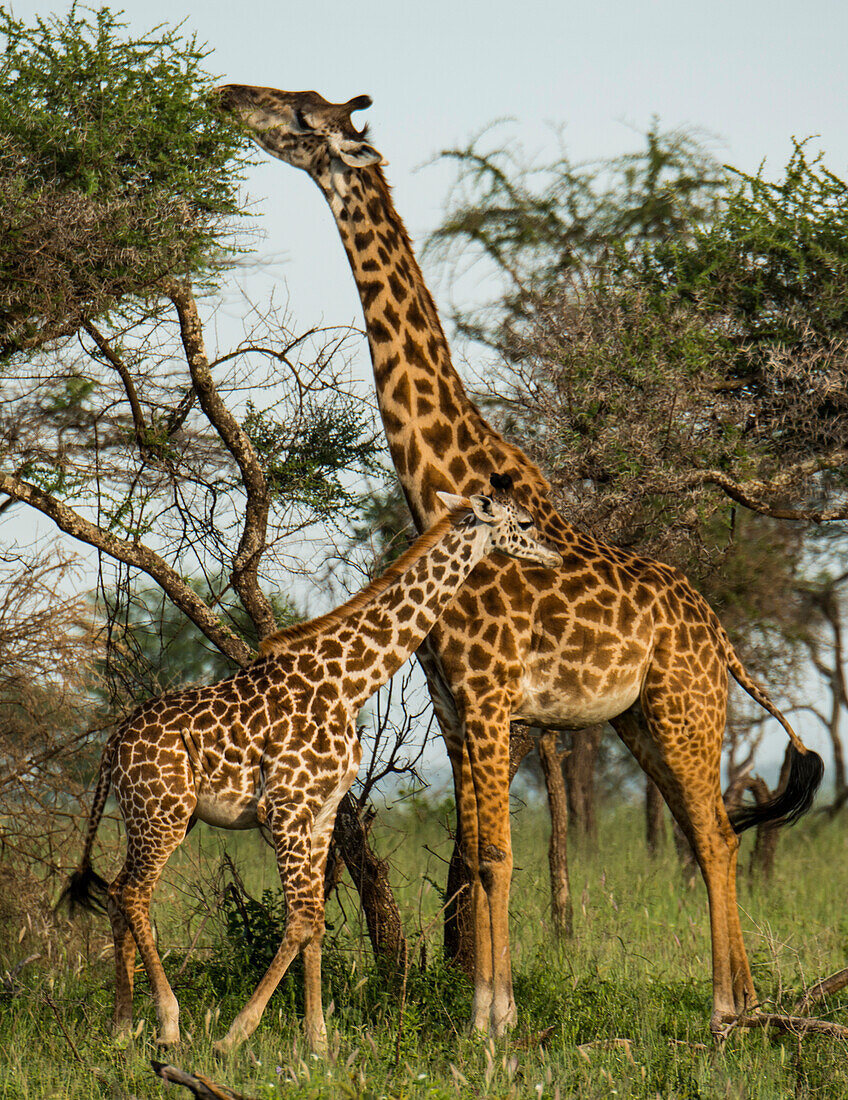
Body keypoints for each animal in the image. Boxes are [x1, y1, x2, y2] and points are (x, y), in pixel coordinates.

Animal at [64, 481, 556, 1047]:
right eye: (523, 523)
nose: (554, 555)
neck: (351, 682)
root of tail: (113, 742)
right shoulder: (285, 808)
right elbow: (298, 920)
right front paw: (237, 1033)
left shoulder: (321, 814)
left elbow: (316, 921)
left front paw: (318, 1041)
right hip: (162, 812)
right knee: (133, 893)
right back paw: (168, 1022)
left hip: (153, 814)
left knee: (117, 892)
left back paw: (122, 1026)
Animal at [217, 88, 822, 1038]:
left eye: (302, 117)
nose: (225, 95)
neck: (440, 482)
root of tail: (721, 636)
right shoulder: (456, 703)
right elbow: (478, 858)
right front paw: (489, 1007)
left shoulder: (494, 696)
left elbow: (499, 856)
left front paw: (488, 1023)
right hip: (639, 719)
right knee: (707, 833)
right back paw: (742, 1004)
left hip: (686, 708)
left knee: (720, 834)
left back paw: (731, 1010)